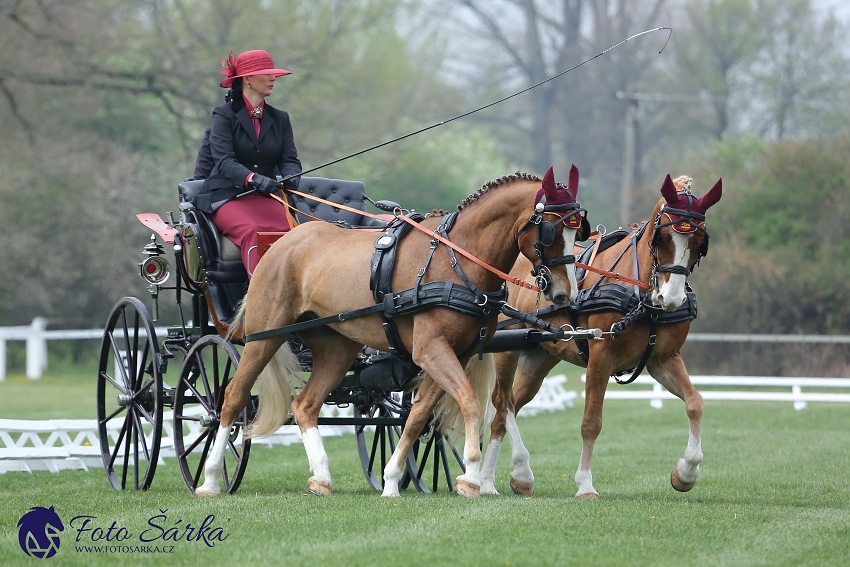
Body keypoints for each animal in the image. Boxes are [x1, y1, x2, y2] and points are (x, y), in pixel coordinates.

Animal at [195, 166, 588, 500]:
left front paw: (391, 480)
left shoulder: (453, 353)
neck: (457, 259)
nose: (564, 294)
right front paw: (471, 476)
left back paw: (321, 477)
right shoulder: (431, 350)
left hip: (337, 348)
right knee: (232, 398)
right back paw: (211, 478)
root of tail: (283, 241)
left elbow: (419, 415)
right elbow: (469, 401)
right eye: (551, 231)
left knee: (305, 405)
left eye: (578, 231)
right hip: (263, 336)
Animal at [480, 175, 720, 500]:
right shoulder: (600, 358)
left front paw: (686, 472)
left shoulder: (663, 360)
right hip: (507, 351)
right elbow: (591, 423)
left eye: (699, 243)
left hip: (537, 359)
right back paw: (495, 478)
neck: (641, 296)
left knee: (509, 409)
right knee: (502, 403)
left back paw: (508, 478)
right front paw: (585, 484)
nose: (671, 299)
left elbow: (695, 402)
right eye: (662, 239)